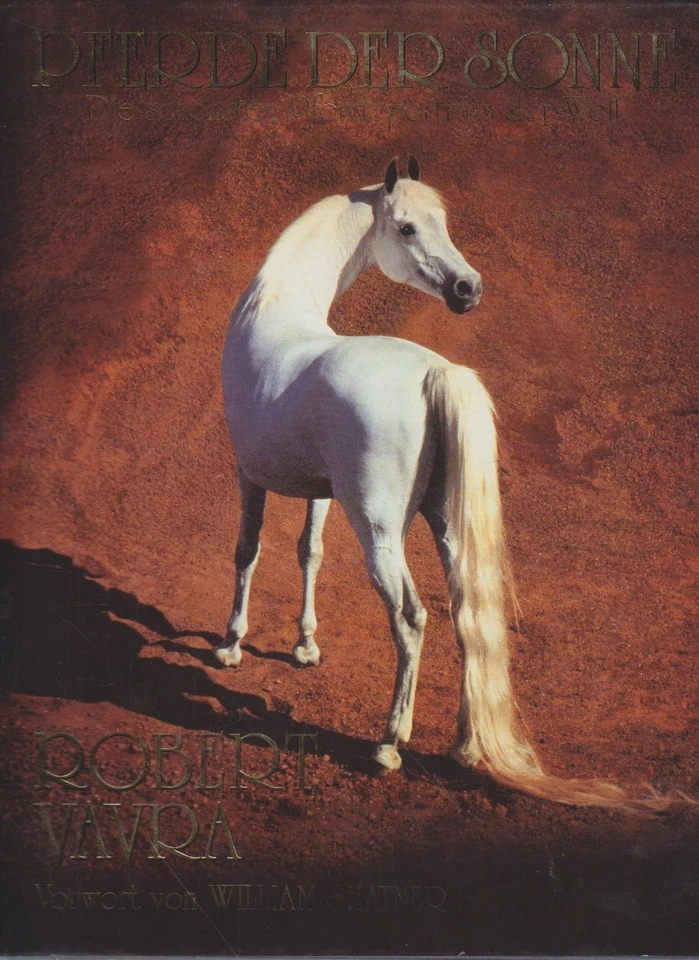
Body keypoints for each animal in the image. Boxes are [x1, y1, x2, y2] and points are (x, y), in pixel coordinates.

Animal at [217, 158, 682, 811]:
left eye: (442, 222)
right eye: (409, 227)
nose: (469, 288)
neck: (275, 309)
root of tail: (435, 371)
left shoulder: (247, 473)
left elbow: (249, 551)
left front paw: (231, 645)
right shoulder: (318, 491)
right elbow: (309, 552)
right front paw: (305, 646)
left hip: (381, 537)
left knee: (412, 619)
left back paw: (388, 745)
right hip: (446, 530)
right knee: (469, 621)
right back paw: (466, 748)